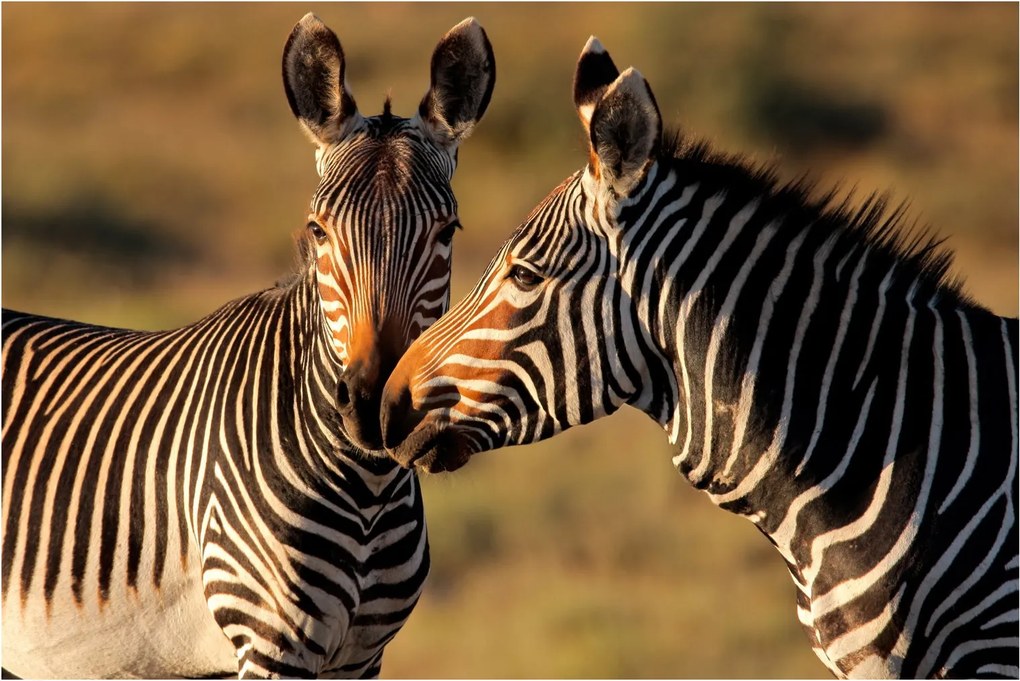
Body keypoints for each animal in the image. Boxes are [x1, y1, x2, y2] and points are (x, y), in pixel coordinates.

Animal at [2, 13, 494, 679]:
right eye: (317, 231)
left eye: (448, 232)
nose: (371, 405)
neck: (368, 488)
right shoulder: (271, 645)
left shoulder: (360, 658)